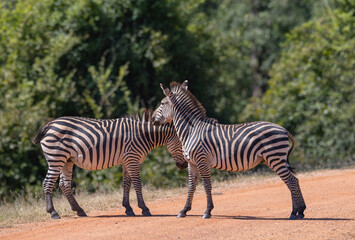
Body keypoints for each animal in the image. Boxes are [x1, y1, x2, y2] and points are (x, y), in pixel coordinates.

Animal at [32, 109, 189, 218]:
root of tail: (51, 123)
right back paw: (53, 213)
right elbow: (137, 184)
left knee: (64, 184)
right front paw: (144, 208)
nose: (184, 166)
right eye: (182, 143)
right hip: (56, 157)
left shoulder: (127, 161)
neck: (143, 135)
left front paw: (128, 208)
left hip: (67, 160)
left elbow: (127, 184)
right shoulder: (132, 159)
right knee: (48, 183)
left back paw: (80, 210)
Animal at [152, 80, 308, 219]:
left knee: (291, 181)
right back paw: (300, 211)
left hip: (275, 158)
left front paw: (207, 211)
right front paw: (184, 210)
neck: (191, 131)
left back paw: (294, 213)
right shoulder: (192, 163)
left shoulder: (202, 160)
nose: (152, 119)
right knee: (294, 180)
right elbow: (191, 186)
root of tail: (283, 129)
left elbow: (207, 185)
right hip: (276, 159)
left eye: (162, 103)